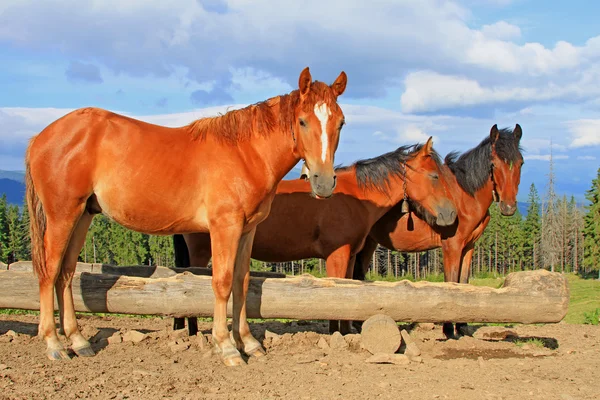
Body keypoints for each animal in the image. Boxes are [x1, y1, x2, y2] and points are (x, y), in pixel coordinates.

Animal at [25, 66, 350, 366]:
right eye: (302, 120)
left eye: (340, 122)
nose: (323, 182)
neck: (245, 153)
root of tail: (41, 137)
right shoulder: (224, 227)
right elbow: (222, 282)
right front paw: (227, 347)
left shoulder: (247, 231)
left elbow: (241, 282)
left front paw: (248, 343)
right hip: (62, 215)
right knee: (50, 271)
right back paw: (54, 344)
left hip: (82, 215)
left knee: (66, 273)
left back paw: (78, 341)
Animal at [171, 138, 458, 334]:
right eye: (434, 176)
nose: (452, 214)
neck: (355, 197)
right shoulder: (336, 254)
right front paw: (336, 334)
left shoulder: (350, 256)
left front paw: (347, 331)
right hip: (202, 252)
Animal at [354, 124, 524, 338]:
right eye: (493, 164)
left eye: (521, 163)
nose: (508, 206)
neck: (464, 195)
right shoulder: (452, 246)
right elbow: (451, 281)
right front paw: (448, 329)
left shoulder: (469, 247)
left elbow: (463, 282)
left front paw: (462, 326)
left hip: (368, 243)